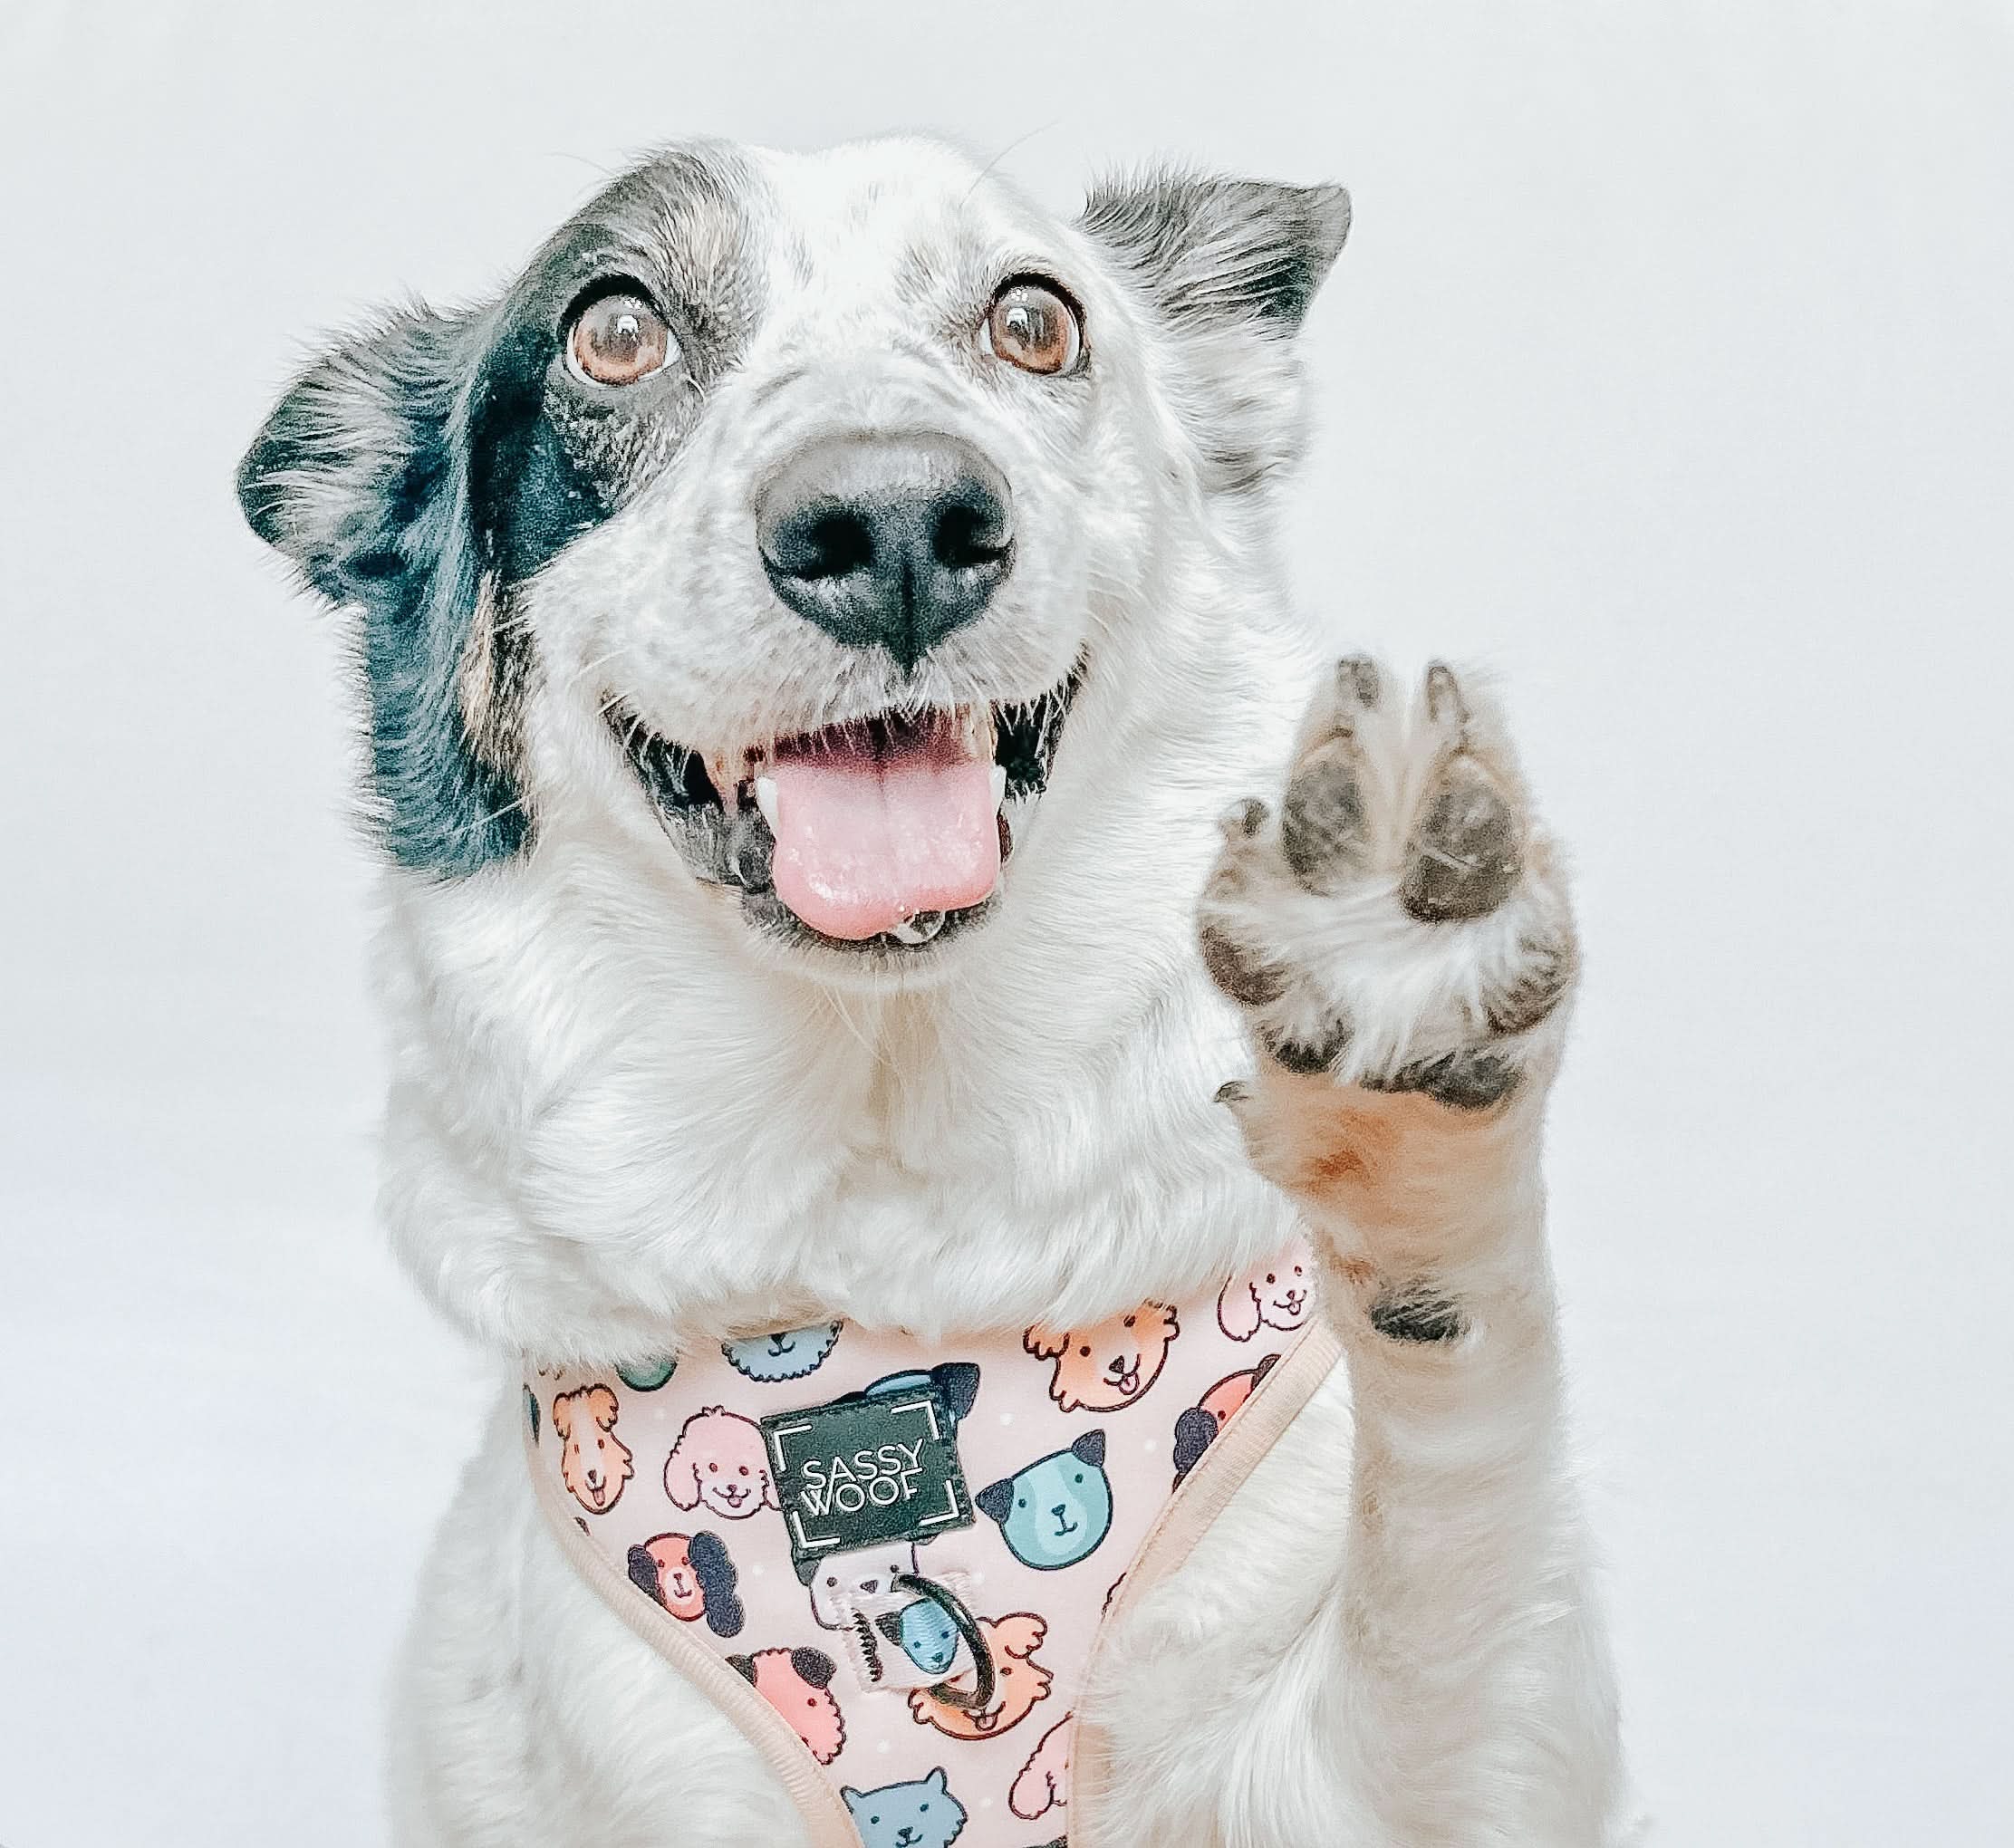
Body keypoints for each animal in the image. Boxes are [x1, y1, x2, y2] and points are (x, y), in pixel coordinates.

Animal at [238, 136, 1629, 1844]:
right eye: (612, 331)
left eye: (1032, 321)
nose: (893, 518)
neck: (887, 1188)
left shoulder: (1410, 1755)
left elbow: (1447, 1511)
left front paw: (1395, 994)